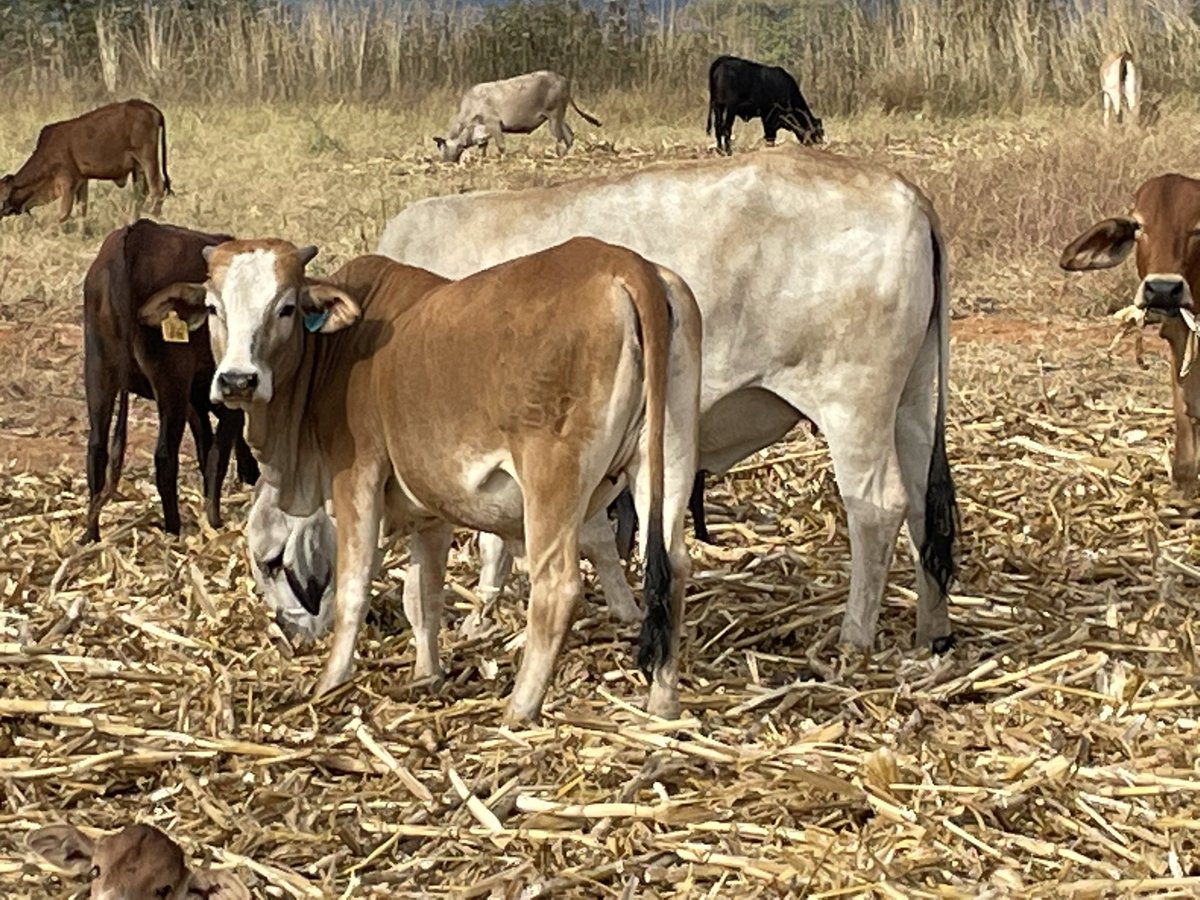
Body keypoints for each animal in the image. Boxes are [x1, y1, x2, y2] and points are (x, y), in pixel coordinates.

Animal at [0, 99, 171, 223]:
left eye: (2, 197)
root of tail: (151, 108)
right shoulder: (81, 180)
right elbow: (82, 209)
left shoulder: (67, 182)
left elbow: (63, 215)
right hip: (138, 167)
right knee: (140, 194)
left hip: (147, 158)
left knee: (157, 189)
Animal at [84, 219, 259, 543]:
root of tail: (136, 235)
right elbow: (217, 454)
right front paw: (214, 521)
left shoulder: (197, 401)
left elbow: (207, 449)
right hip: (169, 380)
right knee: (165, 456)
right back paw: (173, 528)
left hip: (99, 371)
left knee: (96, 448)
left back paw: (91, 535)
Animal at [138, 238, 702, 723]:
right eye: (214, 308)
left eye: (287, 307)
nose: (237, 380)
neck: (340, 351)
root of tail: (626, 264)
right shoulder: (429, 511)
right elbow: (422, 597)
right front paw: (426, 673)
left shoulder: (357, 478)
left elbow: (353, 589)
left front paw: (330, 680)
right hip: (668, 459)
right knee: (673, 566)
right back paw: (663, 704)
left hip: (553, 480)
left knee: (557, 586)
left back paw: (519, 708)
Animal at [377, 147, 958, 655]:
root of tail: (906, 193)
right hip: (910, 401)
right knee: (924, 510)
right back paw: (932, 631)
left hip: (853, 405)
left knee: (878, 509)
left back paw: (854, 637)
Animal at [434, 70, 601, 163]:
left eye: (442, 148)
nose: (445, 163)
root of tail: (563, 79)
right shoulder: (482, 133)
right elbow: (483, 150)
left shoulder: (493, 123)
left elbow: (501, 146)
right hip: (559, 117)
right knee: (569, 136)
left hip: (554, 115)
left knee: (560, 137)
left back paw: (557, 155)